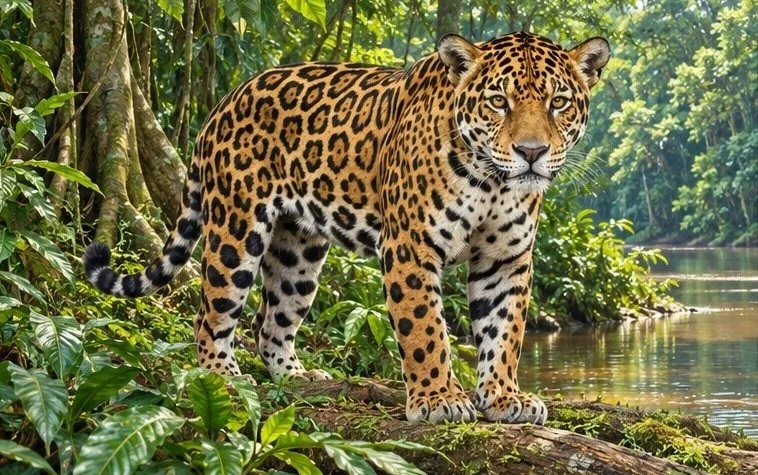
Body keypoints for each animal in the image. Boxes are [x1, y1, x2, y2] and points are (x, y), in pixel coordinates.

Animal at [83, 31, 610, 424]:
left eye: (559, 102)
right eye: (498, 102)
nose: (531, 152)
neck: (494, 182)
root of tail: (225, 101)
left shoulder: (505, 259)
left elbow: (505, 332)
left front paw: (503, 397)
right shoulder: (410, 247)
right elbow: (425, 331)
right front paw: (438, 400)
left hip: (298, 251)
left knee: (270, 321)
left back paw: (296, 375)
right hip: (236, 230)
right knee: (210, 314)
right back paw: (223, 375)